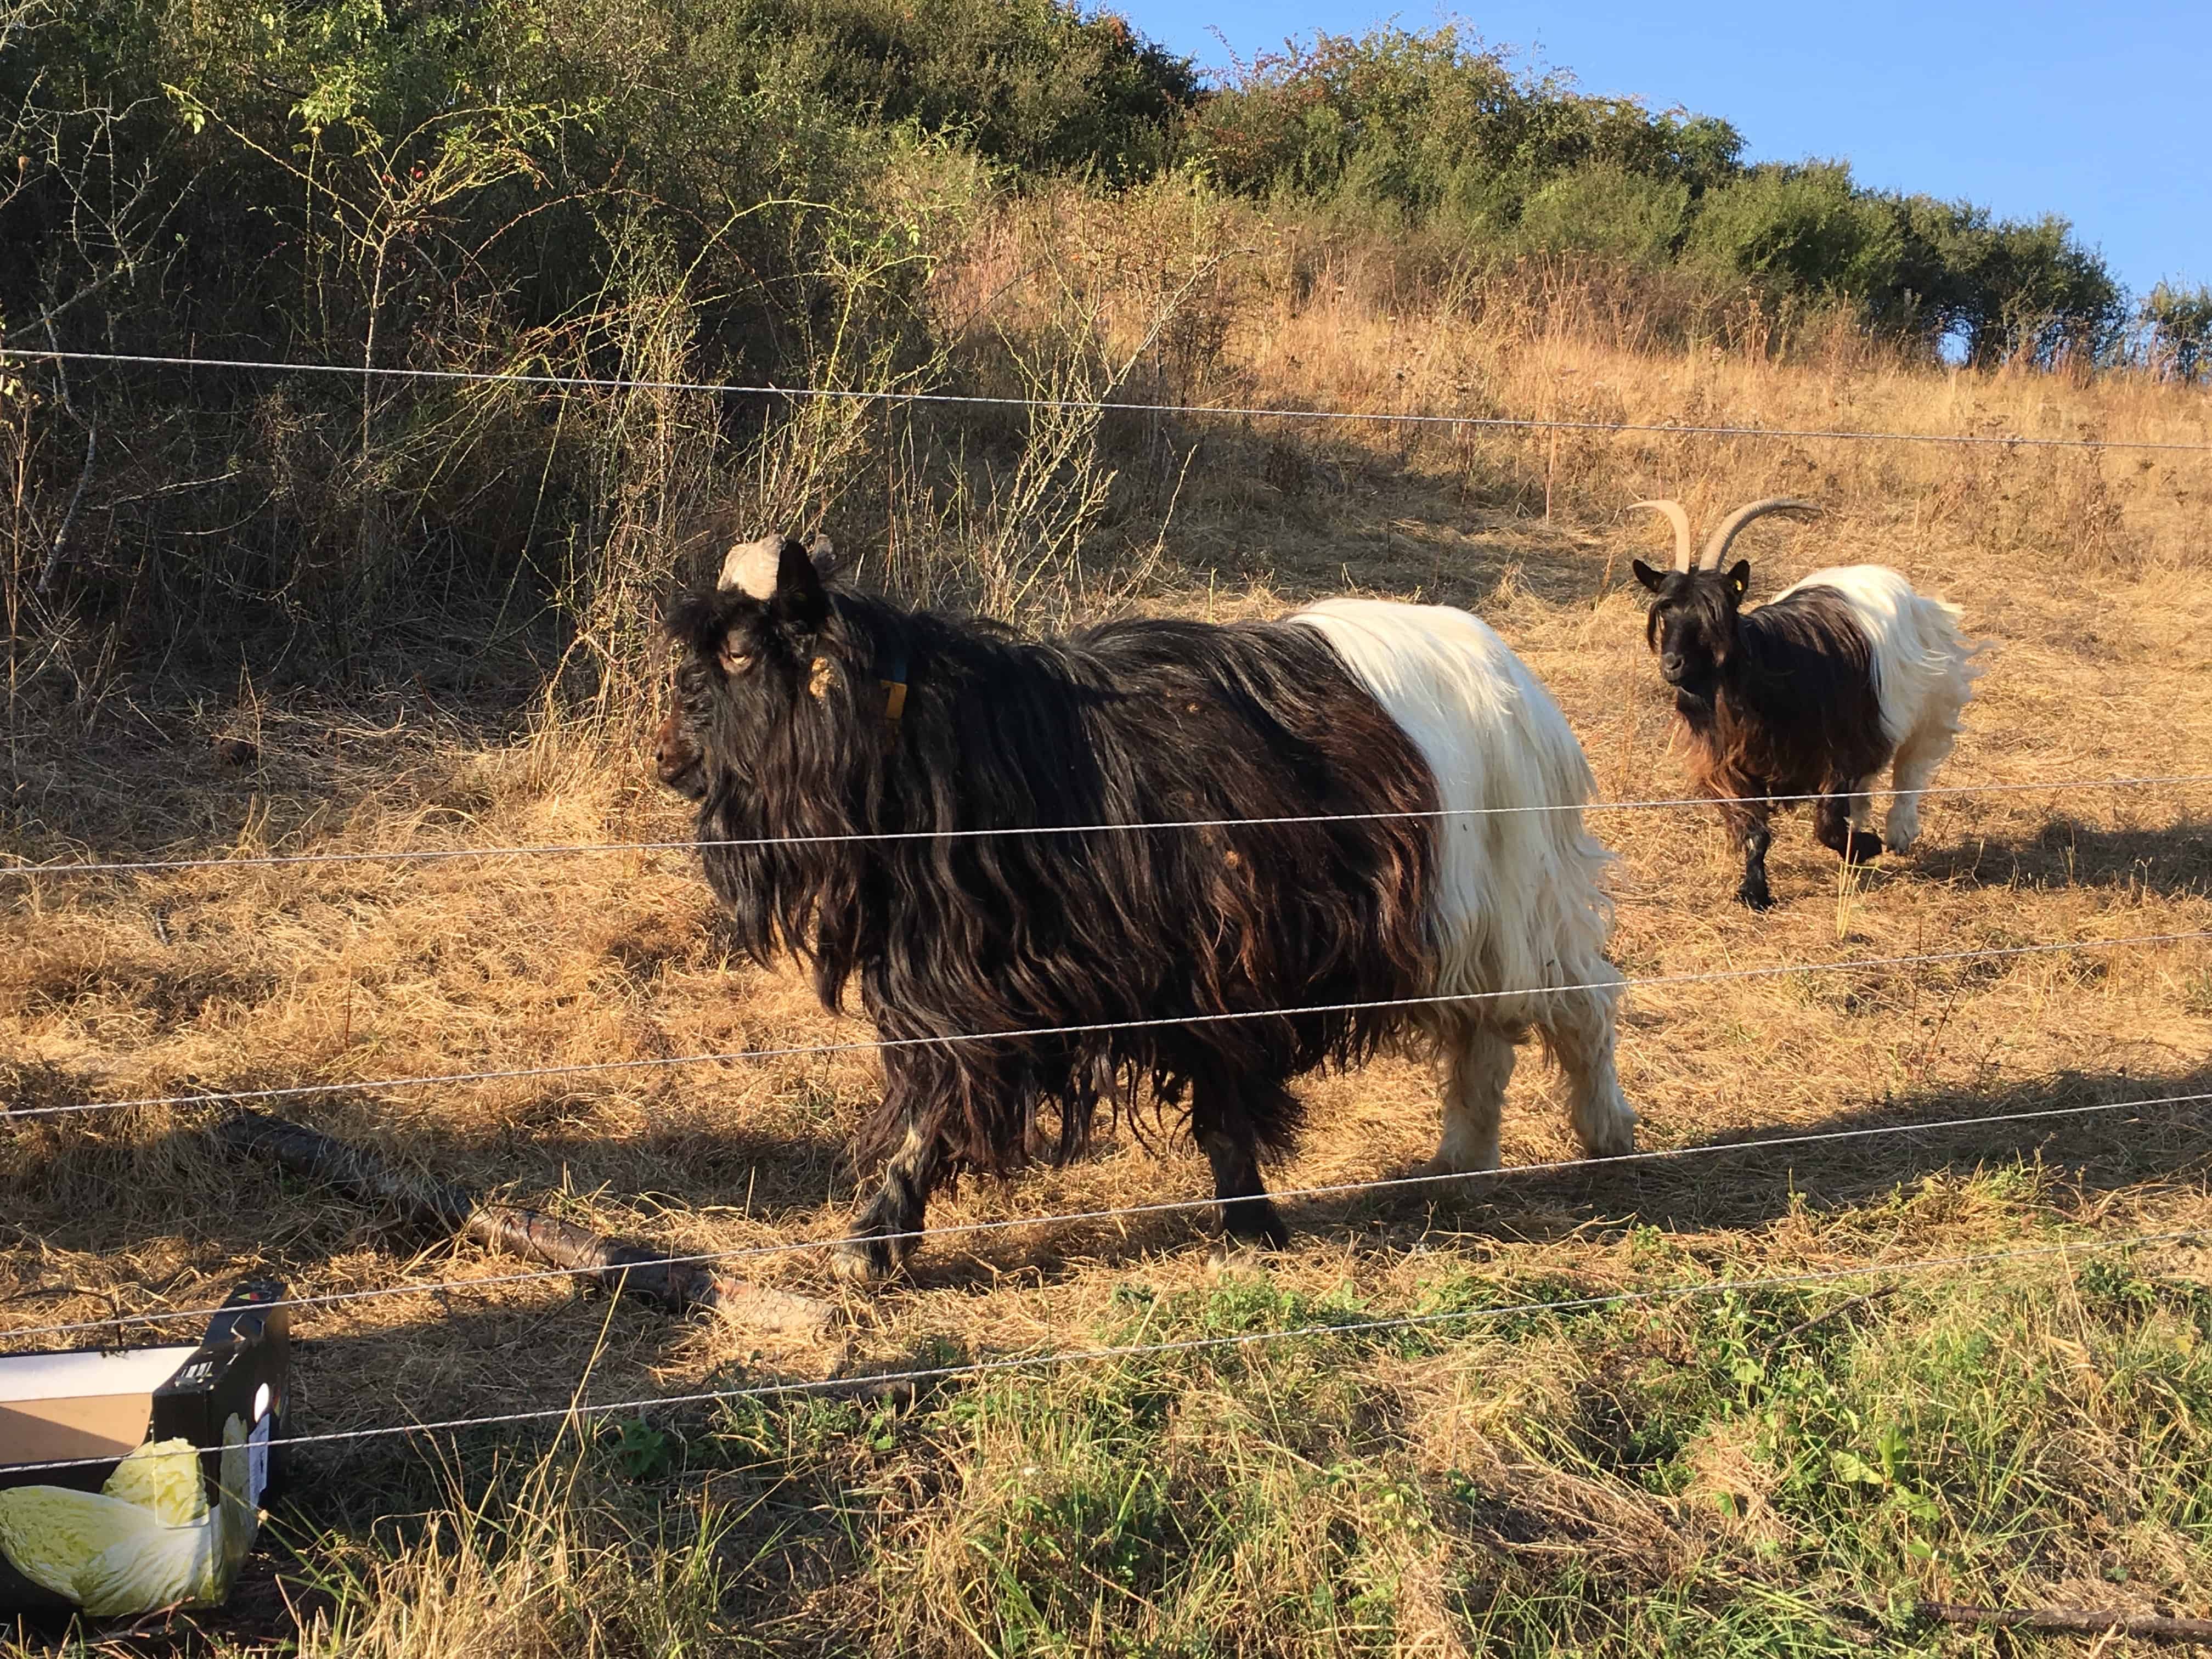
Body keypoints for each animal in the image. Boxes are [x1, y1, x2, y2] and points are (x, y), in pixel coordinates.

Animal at [646, 533, 1637, 1283]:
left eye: (740, 652)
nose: (667, 758)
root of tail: (1512, 674)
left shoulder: (1207, 966)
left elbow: (1199, 1103)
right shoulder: (1018, 983)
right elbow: (955, 1089)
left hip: (1519, 891)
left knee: (1578, 1008)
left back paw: (1607, 1137)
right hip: (1458, 918)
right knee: (1487, 1034)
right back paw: (1458, 1161)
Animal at [1628, 500, 1990, 916]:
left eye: (1717, 613)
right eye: (1665, 610)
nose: (1672, 664)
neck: (1770, 666)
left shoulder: (1841, 749)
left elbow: (1827, 823)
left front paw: (1865, 847)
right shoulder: (1727, 764)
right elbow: (1756, 831)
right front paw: (1755, 892)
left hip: (1931, 694)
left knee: (1912, 765)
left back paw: (1899, 831)